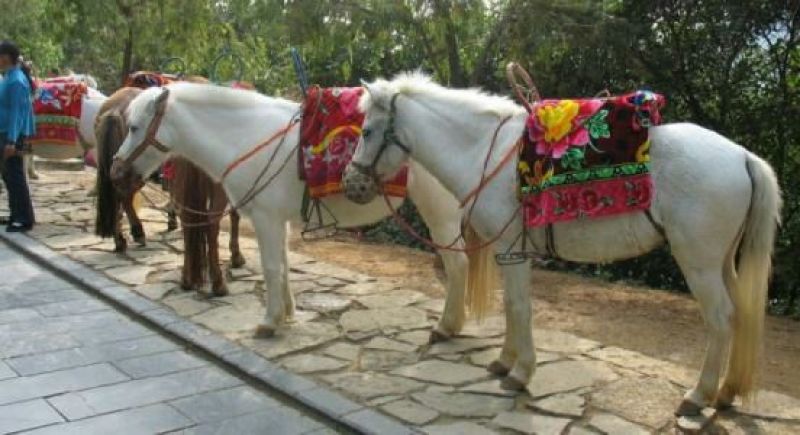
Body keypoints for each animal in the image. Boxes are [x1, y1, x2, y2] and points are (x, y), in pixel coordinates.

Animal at [342, 72, 782, 416]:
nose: (352, 183)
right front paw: (504, 362)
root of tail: (743, 157)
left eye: (366, 131)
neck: (483, 151)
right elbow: (511, 305)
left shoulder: (512, 248)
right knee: (740, 314)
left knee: (721, 318)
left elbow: (519, 307)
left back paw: (698, 395)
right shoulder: (509, 251)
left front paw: (520, 373)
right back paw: (726, 393)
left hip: (699, 263)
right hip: (723, 261)